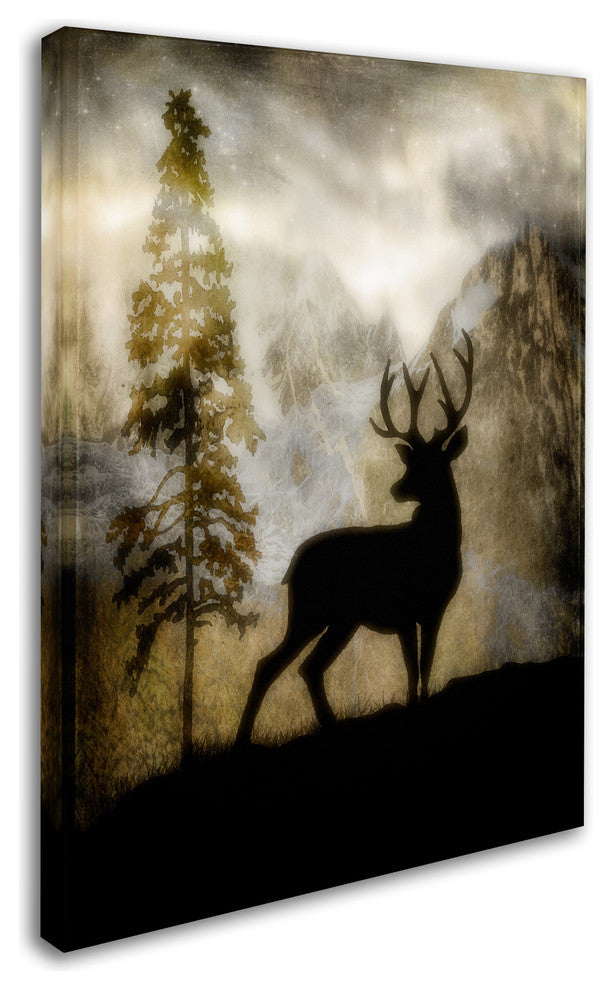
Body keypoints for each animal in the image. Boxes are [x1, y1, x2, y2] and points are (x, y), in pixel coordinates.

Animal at [235, 329, 474, 745]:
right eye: (410, 462)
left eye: (430, 465)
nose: (396, 489)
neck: (434, 546)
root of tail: (292, 567)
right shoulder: (403, 606)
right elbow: (412, 666)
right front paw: (411, 708)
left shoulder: (434, 608)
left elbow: (425, 665)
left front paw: (420, 703)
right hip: (312, 609)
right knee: (274, 664)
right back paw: (245, 738)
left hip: (341, 618)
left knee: (307, 667)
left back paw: (325, 724)